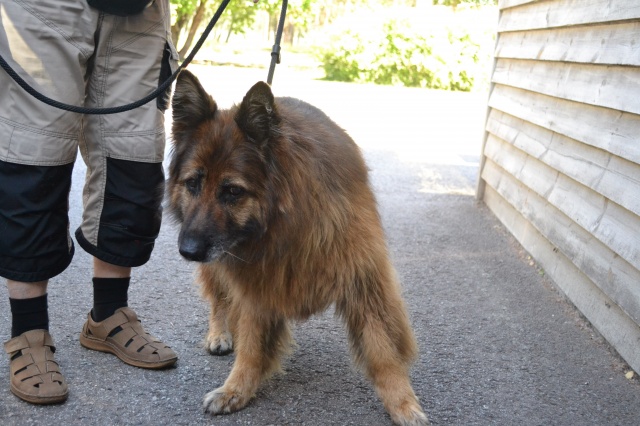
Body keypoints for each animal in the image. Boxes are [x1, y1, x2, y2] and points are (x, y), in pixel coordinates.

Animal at [168, 69, 429, 426]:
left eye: (232, 191)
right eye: (192, 183)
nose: (188, 251)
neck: (285, 226)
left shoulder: (363, 279)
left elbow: (382, 348)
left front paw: (401, 402)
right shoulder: (256, 285)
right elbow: (251, 344)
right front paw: (236, 389)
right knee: (220, 299)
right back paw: (219, 333)